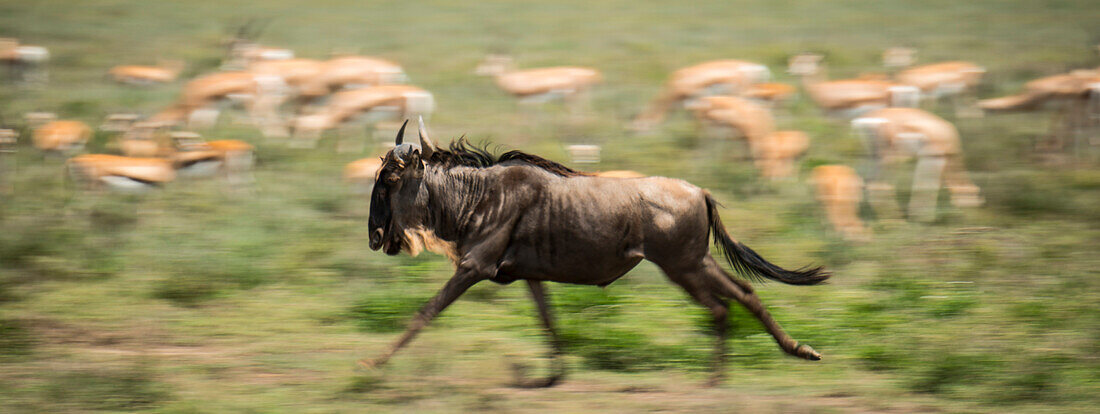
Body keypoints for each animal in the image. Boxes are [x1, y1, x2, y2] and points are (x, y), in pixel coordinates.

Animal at [853, 108, 985, 221]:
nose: (971, 219)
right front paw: (922, 217)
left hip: (875, 156)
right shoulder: (933, 159)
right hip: (891, 158)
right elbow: (925, 186)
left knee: (866, 180)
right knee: (879, 185)